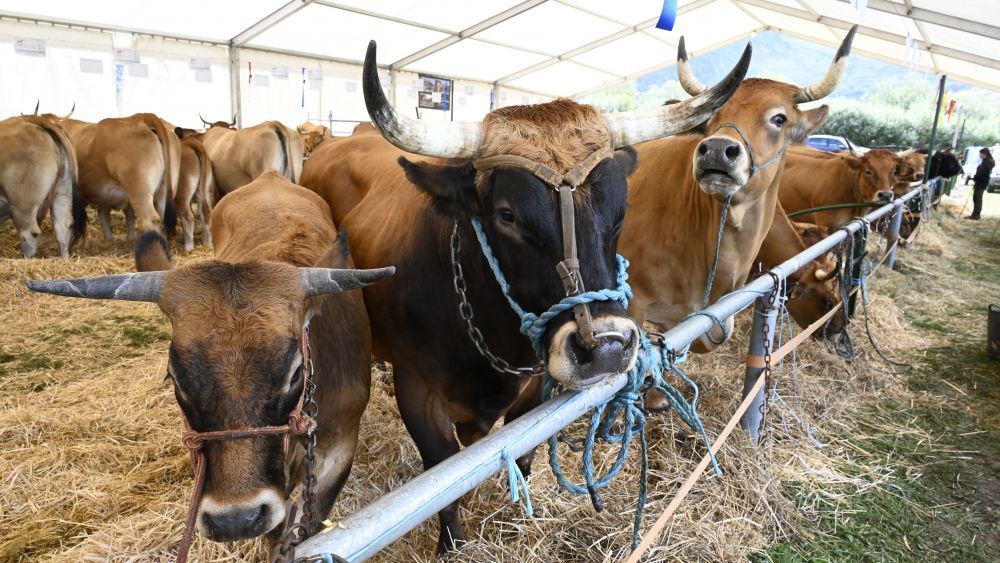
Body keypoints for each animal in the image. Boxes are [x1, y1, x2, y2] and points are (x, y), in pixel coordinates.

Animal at [296, 40, 752, 556]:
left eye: (621, 208)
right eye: (507, 214)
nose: (608, 347)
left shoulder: (537, 385)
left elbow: (527, 451)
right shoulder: (418, 391)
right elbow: (441, 476)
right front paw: (453, 544)